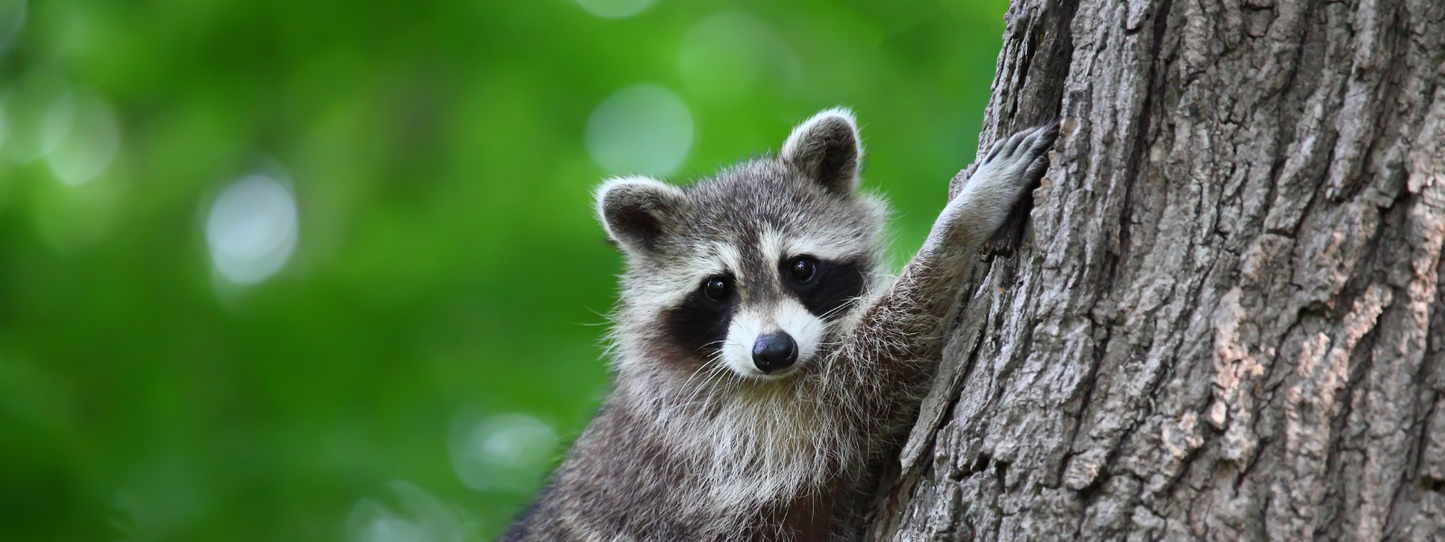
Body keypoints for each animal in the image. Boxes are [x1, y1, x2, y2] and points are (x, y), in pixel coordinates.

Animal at [502, 109, 1057, 542]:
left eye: (801, 268)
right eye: (717, 288)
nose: (773, 352)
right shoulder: (719, 431)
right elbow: (873, 367)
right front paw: (958, 225)